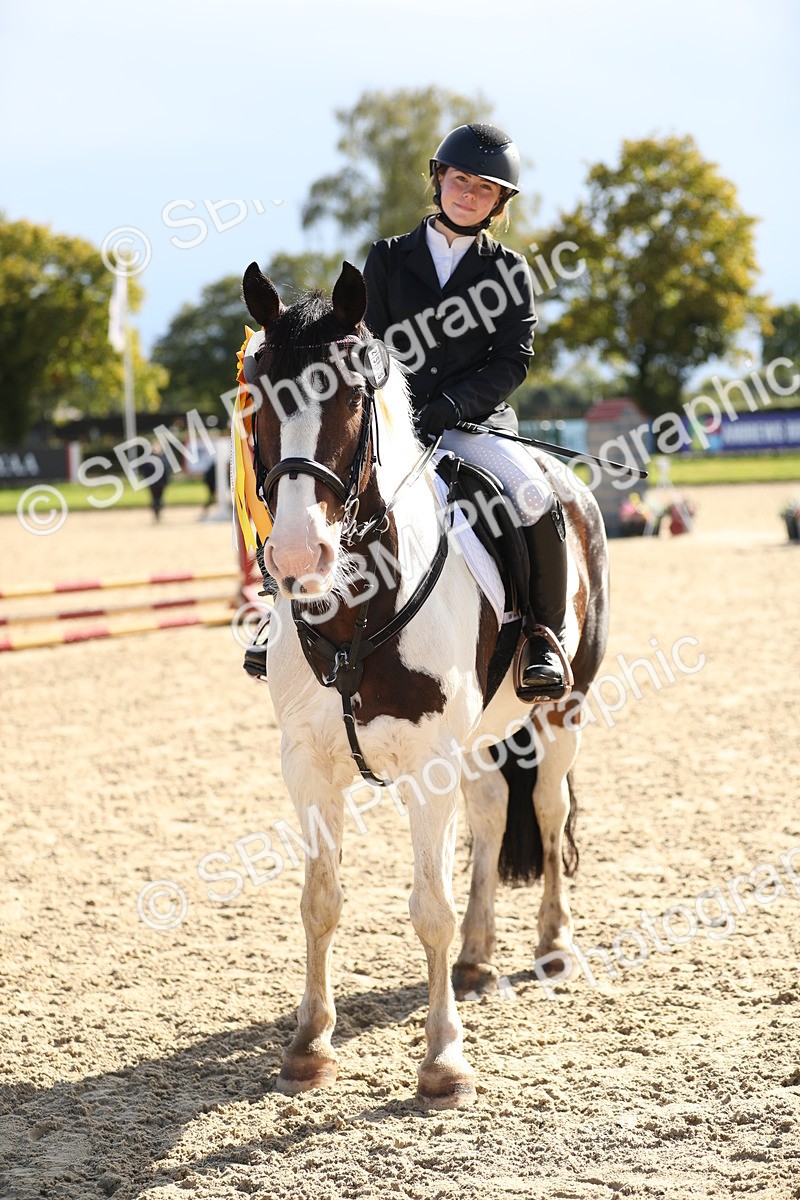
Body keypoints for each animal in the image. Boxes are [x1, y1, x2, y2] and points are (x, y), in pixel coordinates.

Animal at [238, 259, 609, 1109]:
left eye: (351, 396)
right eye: (257, 394)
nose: (297, 556)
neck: (355, 610)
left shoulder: (426, 766)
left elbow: (427, 909)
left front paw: (443, 1062)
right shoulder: (306, 764)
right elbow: (319, 902)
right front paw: (309, 1045)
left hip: (564, 709)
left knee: (546, 809)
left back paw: (553, 944)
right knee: (492, 808)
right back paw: (476, 959)